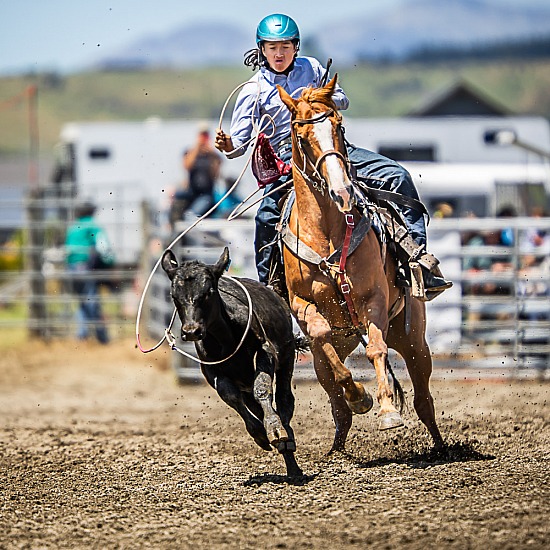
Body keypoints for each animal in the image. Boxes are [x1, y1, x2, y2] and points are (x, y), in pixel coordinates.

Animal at [278, 77, 446, 458]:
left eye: (338, 126)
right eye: (300, 134)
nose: (342, 191)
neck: (327, 233)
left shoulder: (373, 299)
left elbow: (376, 350)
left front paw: (386, 411)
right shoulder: (302, 304)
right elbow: (323, 339)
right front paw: (360, 396)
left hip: (414, 339)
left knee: (423, 399)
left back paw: (442, 448)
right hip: (333, 349)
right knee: (335, 398)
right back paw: (337, 449)